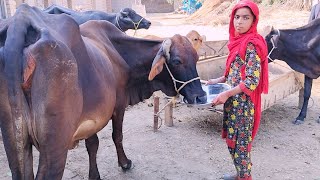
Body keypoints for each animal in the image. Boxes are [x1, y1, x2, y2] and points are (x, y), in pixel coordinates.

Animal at [0, 3, 205, 179]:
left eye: (196, 58)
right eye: (177, 61)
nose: (200, 96)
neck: (118, 52)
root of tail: (21, 20)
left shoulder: (92, 115)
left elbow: (93, 144)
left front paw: (94, 175)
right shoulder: (119, 105)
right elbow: (117, 136)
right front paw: (125, 163)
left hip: (16, 145)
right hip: (54, 147)